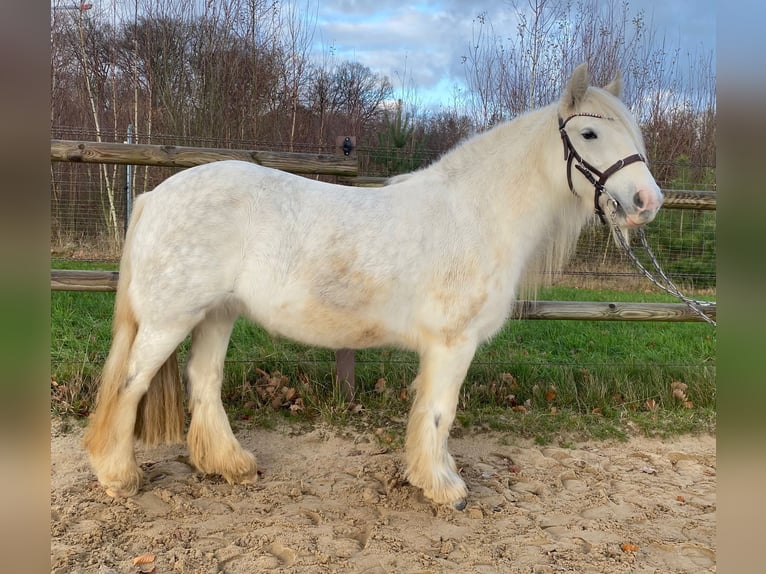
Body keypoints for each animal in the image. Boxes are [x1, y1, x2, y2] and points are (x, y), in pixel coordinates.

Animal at [82, 64, 660, 508]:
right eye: (589, 134)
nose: (646, 202)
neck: (475, 214)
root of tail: (155, 196)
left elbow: (432, 412)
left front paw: (431, 476)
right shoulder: (453, 343)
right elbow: (440, 411)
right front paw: (445, 488)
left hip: (217, 313)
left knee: (204, 380)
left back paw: (232, 466)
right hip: (170, 319)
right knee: (129, 385)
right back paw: (118, 477)